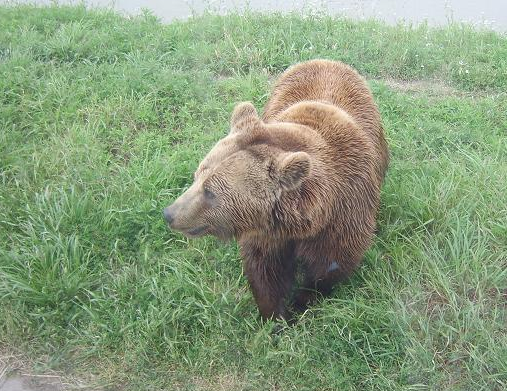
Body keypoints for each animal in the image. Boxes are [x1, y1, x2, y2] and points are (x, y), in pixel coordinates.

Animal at [163, 59, 388, 322]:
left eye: (210, 192)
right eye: (197, 176)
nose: (169, 214)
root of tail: (326, 60)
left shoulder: (344, 212)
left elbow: (331, 263)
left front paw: (302, 302)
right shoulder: (267, 229)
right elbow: (265, 270)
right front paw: (275, 316)